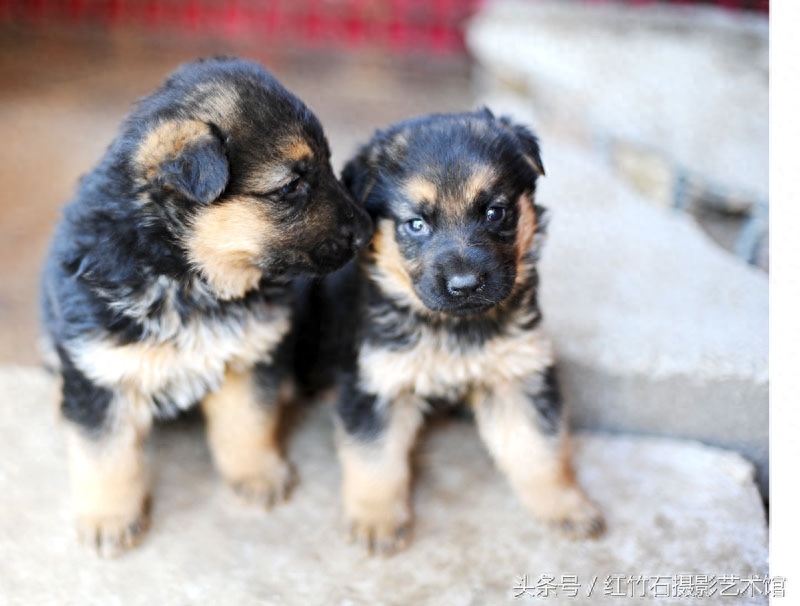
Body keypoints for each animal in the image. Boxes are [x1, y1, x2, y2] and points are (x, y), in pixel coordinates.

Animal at [45, 54, 376, 560]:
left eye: (328, 165)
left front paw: (257, 474)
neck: (184, 277)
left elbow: (247, 423)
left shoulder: (250, 353)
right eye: (291, 185)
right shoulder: (101, 373)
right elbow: (105, 457)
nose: (367, 231)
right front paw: (108, 519)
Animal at [322, 108, 604, 556]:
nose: (465, 285)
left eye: (494, 212)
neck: (453, 327)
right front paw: (377, 519)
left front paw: (565, 506)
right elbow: (375, 460)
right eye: (416, 224)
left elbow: (540, 452)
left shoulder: (518, 377)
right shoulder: (377, 384)